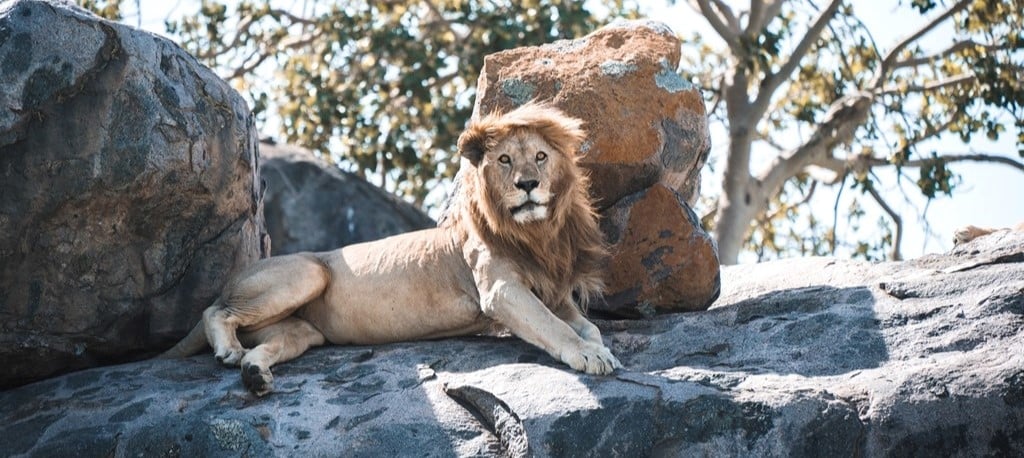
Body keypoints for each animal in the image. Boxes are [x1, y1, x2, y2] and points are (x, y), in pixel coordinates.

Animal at [161, 102, 622, 395]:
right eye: (505, 160)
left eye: (541, 156)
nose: (528, 184)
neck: (536, 233)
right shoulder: (500, 291)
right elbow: (555, 327)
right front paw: (588, 356)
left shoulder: (554, 293)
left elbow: (587, 326)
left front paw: (600, 348)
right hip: (309, 272)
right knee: (214, 311)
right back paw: (228, 350)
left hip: (302, 331)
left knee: (267, 343)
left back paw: (254, 374)